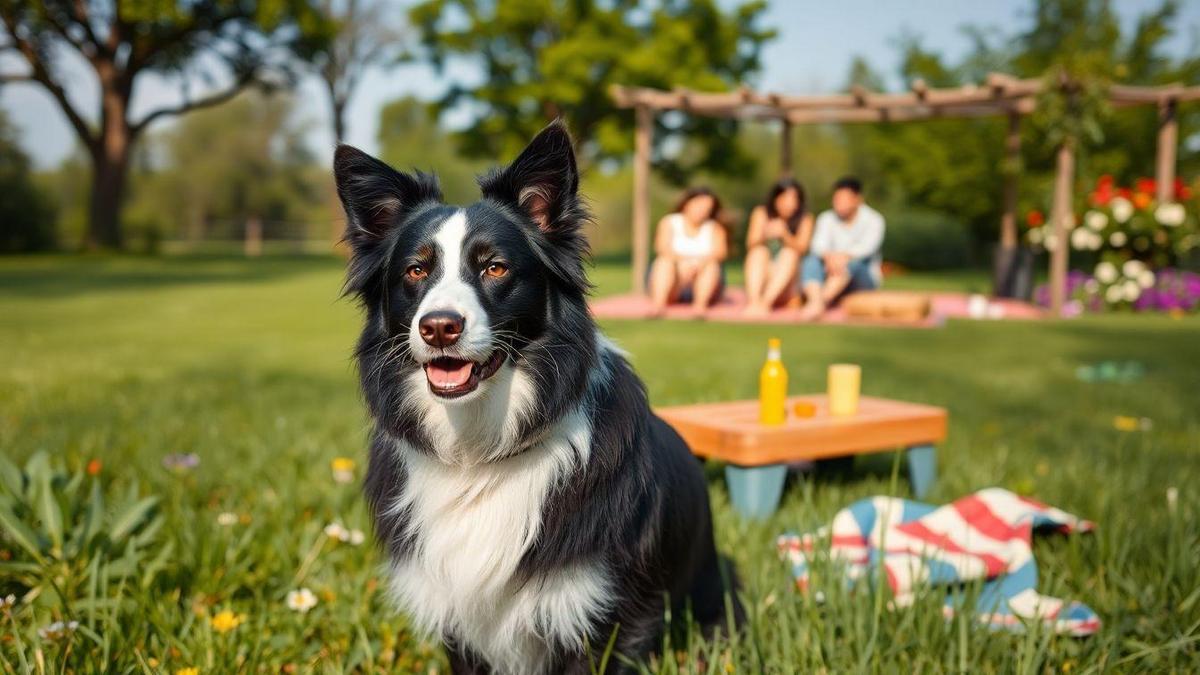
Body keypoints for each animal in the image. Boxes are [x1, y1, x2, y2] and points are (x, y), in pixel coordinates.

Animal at [333, 121, 734, 672]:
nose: (438, 327)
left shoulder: (594, 615)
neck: (479, 453)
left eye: (496, 268)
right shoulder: (461, 621)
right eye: (415, 271)